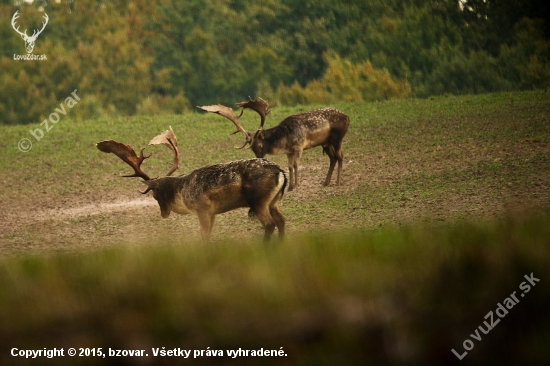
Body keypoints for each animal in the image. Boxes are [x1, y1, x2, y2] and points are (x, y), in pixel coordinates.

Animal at [97, 127, 288, 242]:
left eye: (155, 195)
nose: (163, 214)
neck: (183, 192)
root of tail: (280, 172)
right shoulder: (212, 212)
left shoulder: (202, 209)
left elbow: (204, 236)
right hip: (273, 201)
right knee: (281, 220)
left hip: (258, 201)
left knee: (270, 224)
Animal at [201, 97, 352, 192]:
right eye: (252, 149)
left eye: (260, 146)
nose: (259, 158)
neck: (285, 139)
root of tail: (347, 117)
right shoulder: (289, 151)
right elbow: (290, 166)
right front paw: (290, 186)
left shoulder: (299, 146)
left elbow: (296, 165)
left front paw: (296, 185)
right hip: (326, 143)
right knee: (333, 158)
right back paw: (326, 182)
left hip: (337, 138)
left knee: (340, 156)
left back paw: (338, 182)